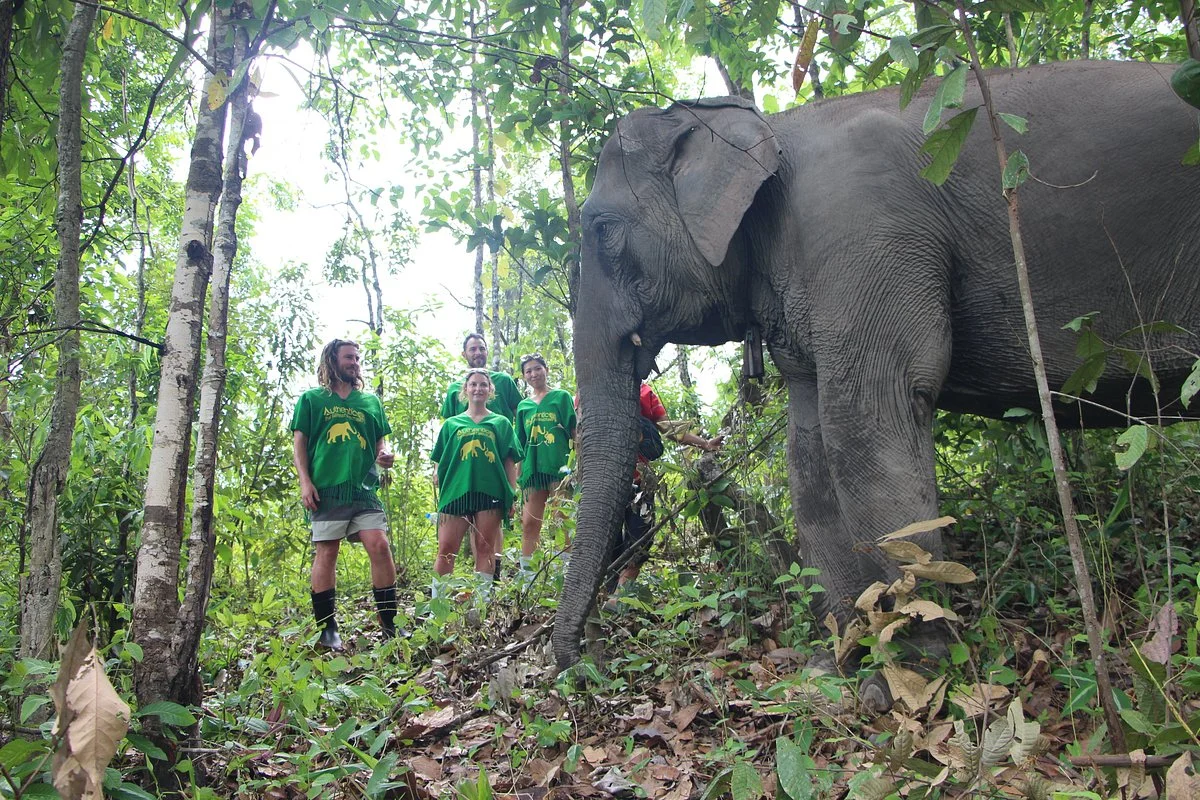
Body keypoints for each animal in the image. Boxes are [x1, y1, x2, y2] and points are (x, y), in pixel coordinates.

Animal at [553, 60, 1200, 672]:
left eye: (603, 230)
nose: (577, 659)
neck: (773, 125)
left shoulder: (863, 226)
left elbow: (864, 417)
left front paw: (912, 667)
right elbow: (807, 448)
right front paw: (838, 658)